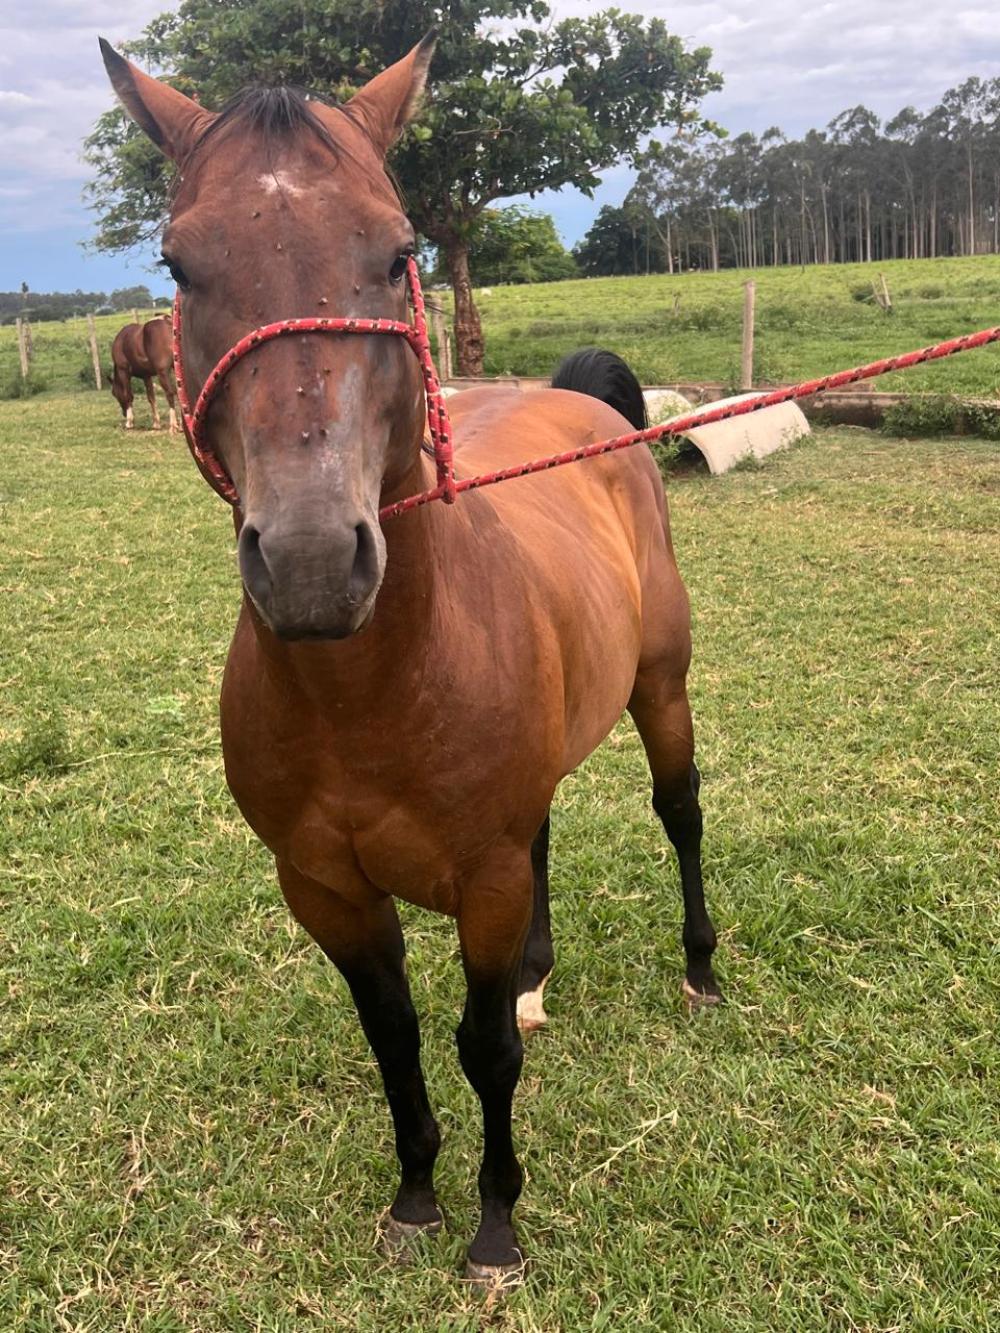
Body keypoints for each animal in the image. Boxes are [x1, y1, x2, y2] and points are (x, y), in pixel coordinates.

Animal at [100, 33, 721, 1287]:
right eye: (179, 265)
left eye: (396, 252)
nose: (307, 561)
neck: (373, 693)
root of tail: (584, 406)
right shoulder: (325, 888)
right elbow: (393, 1036)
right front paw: (415, 1194)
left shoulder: (480, 878)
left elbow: (480, 1049)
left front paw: (495, 1224)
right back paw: (537, 979)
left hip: (660, 688)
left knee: (678, 810)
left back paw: (699, 967)